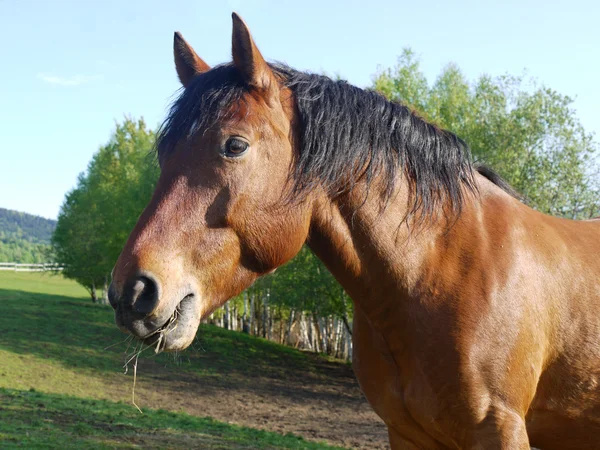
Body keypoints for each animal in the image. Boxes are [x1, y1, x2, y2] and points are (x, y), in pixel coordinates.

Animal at [109, 14, 600, 450]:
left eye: (235, 145)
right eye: (165, 152)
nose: (132, 291)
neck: (441, 268)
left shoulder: (500, 430)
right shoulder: (408, 435)